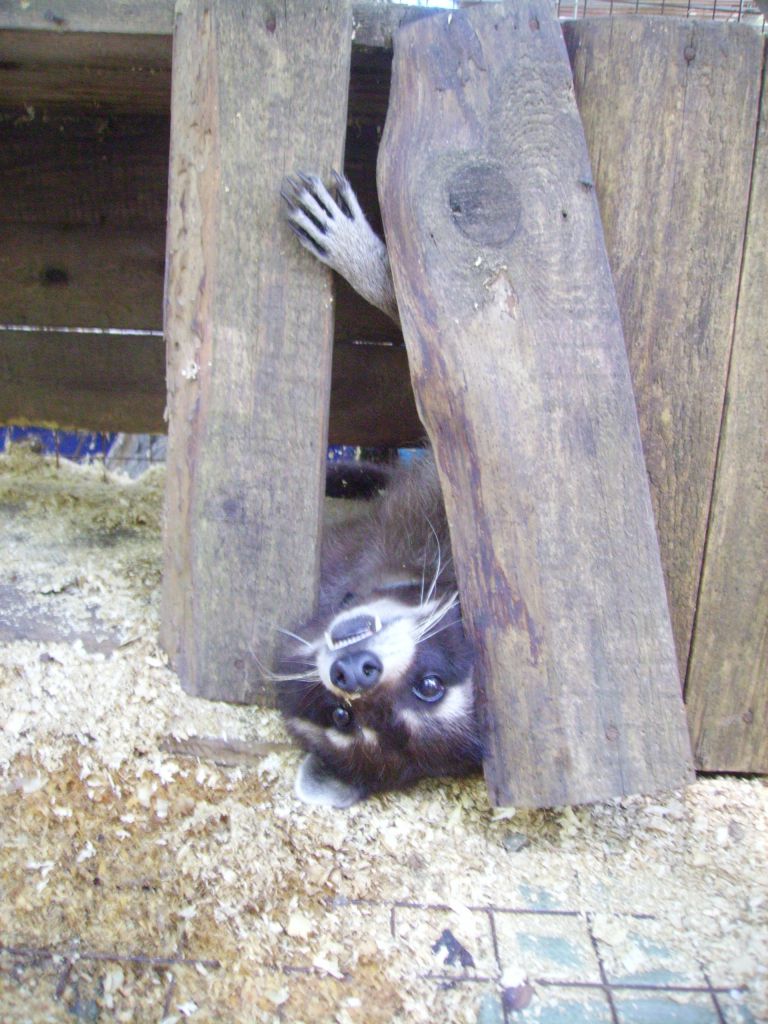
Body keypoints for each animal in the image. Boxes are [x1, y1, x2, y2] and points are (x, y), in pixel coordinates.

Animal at [277, 173, 483, 806]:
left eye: (427, 688)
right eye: (340, 715)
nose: (353, 673)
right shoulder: (447, 509)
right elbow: (440, 377)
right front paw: (371, 269)